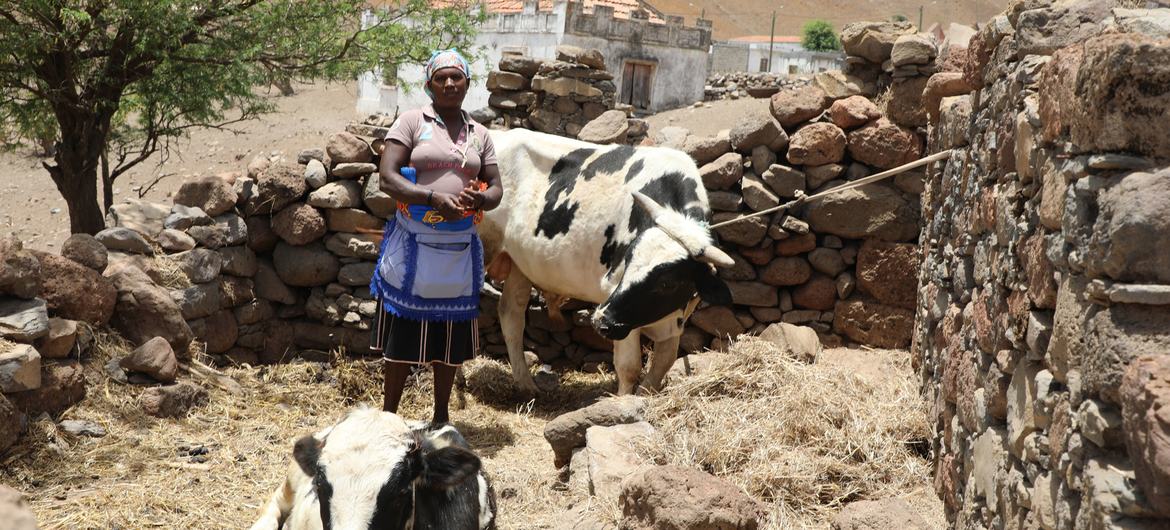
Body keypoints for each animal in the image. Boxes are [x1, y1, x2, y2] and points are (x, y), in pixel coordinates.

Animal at [477, 126, 730, 393]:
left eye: (667, 283)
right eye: (627, 260)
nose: (601, 321)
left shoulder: (674, 319)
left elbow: (663, 363)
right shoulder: (616, 300)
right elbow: (629, 368)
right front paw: (623, 401)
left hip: (520, 264)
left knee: (511, 315)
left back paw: (527, 385)